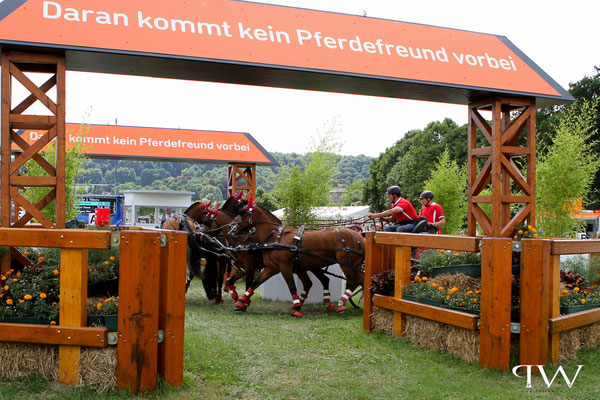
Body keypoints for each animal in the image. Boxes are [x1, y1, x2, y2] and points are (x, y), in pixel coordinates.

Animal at [230, 198, 364, 318]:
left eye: (242, 212)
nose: (230, 227)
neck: (275, 236)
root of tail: (359, 237)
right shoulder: (271, 268)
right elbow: (255, 282)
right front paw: (240, 303)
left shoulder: (285, 267)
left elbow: (291, 286)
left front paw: (297, 309)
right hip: (352, 265)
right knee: (360, 282)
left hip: (345, 263)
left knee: (353, 282)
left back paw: (341, 304)